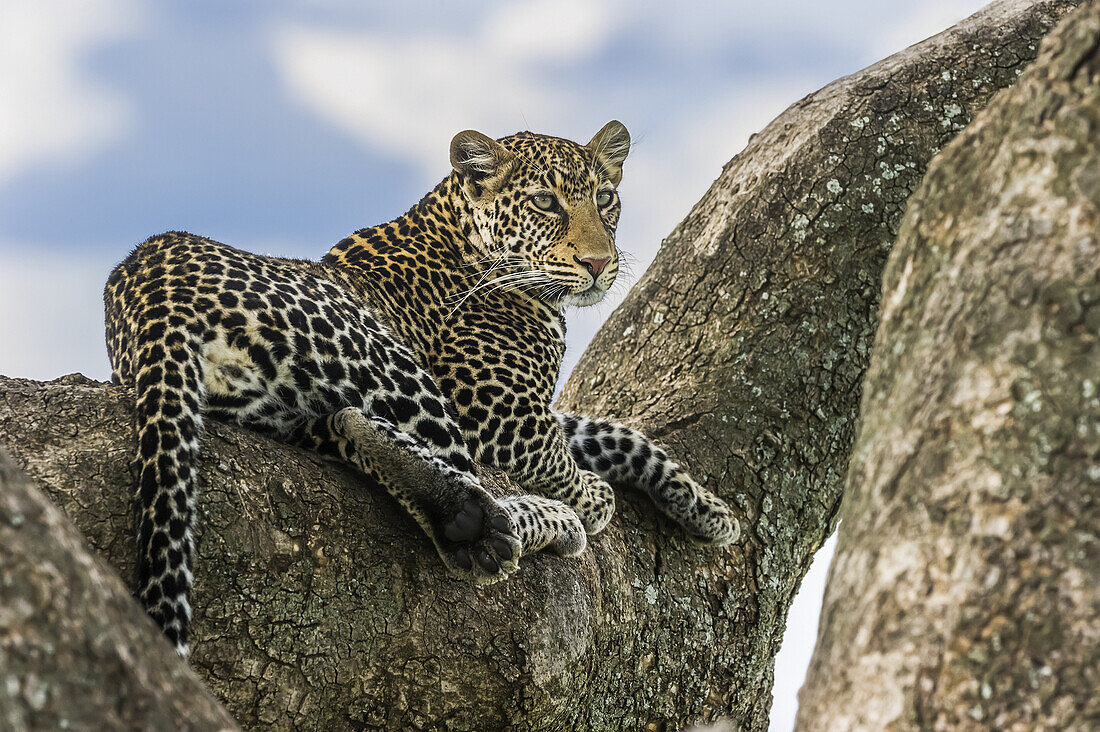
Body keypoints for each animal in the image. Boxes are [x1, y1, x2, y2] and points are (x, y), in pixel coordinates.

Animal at [103, 118, 739, 651]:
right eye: (545, 203)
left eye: (605, 200)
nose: (599, 264)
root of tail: (150, 290)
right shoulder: (501, 419)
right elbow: (562, 459)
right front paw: (593, 496)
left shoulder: (535, 409)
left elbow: (618, 436)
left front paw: (710, 510)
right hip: (394, 366)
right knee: (473, 483)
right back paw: (539, 523)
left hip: (282, 411)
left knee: (352, 424)